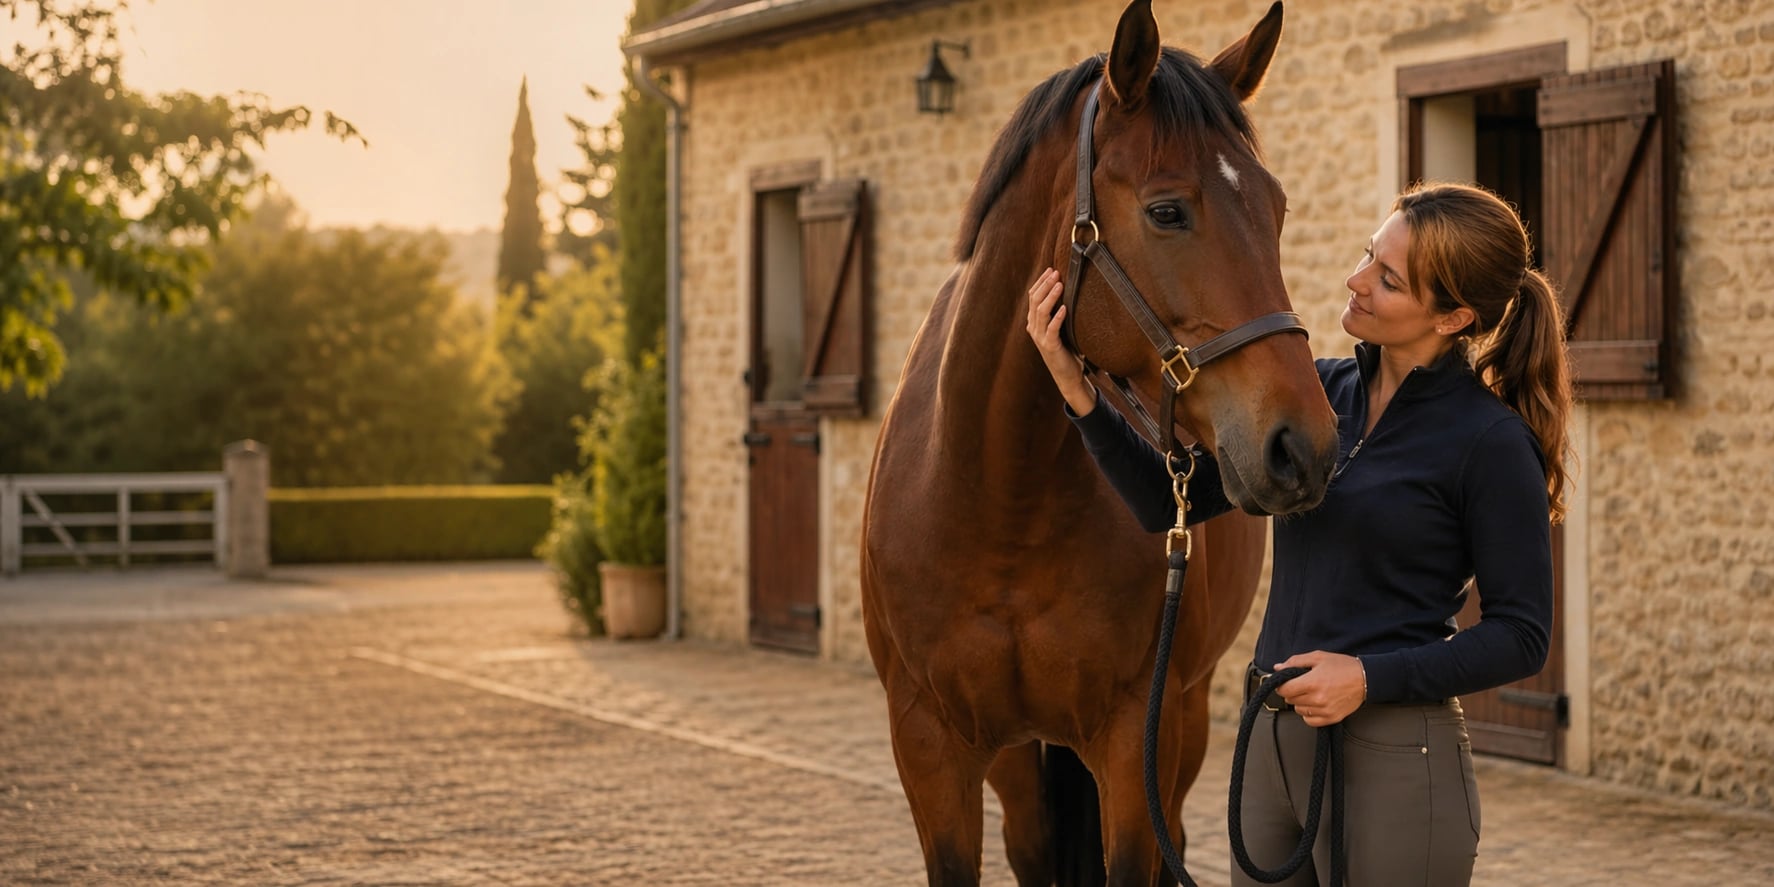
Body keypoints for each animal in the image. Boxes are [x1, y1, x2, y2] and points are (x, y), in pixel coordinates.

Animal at [860, 2, 1339, 884]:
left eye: (1279, 207)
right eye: (1166, 210)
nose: (1304, 445)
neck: (998, 494)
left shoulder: (1132, 739)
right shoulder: (929, 744)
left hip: (1186, 716)